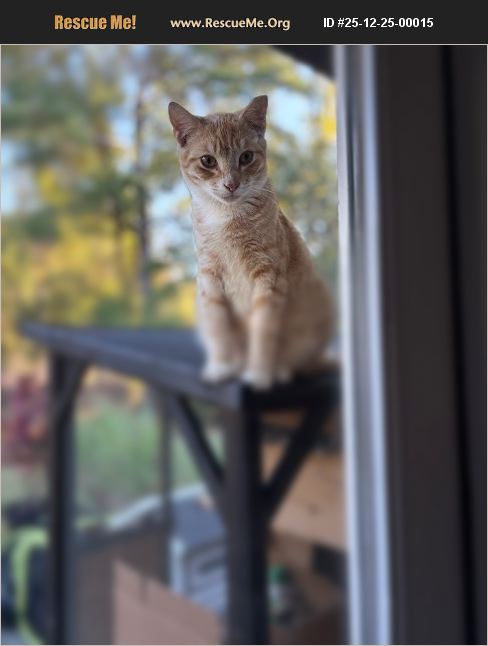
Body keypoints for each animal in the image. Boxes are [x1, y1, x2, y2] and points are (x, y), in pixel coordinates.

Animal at [168, 95, 332, 390]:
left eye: (246, 157)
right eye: (208, 161)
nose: (231, 184)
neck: (226, 219)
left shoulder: (268, 277)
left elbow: (264, 331)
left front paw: (259, 374)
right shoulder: (210, 277)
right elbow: (219, 327)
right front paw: (221, 367)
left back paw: (280, 371)